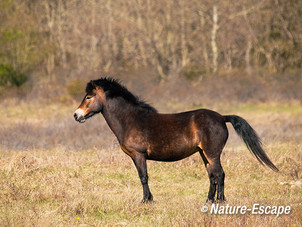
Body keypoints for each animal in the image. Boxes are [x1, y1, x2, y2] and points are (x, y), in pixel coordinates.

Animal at [73, 77, 278, 202]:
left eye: (89, 97)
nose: (76, 115)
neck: (131, 120)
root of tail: (221, 117)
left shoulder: (139, 155)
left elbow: (143, 177)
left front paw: (146, 201)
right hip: (203, 153)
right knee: (212, 175)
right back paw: (208, 200)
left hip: (212, 153)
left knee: (219, 174)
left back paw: (219, 201)